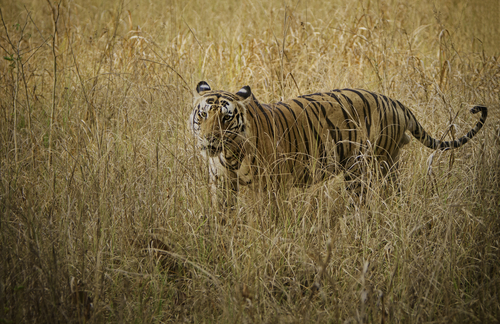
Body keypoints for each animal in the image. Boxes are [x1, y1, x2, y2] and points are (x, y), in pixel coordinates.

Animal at [188, 80, 488, 208]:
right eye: (203, 115)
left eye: (226, 118)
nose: (209, 139)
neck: (230, 153)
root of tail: (395, 102)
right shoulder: (221, 184)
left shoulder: (271, 186)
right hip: (386, 163)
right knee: (395, 193)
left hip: (364, 167)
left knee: (365, 201)